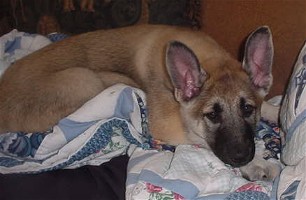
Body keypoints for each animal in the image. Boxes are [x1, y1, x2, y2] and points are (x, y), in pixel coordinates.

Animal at [0, 25, 274, 171]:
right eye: (212, 115)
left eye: (248, 109)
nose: (242, 157)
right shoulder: (169, 125)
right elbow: (203, 141)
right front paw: (257, 166)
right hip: (89, 78)